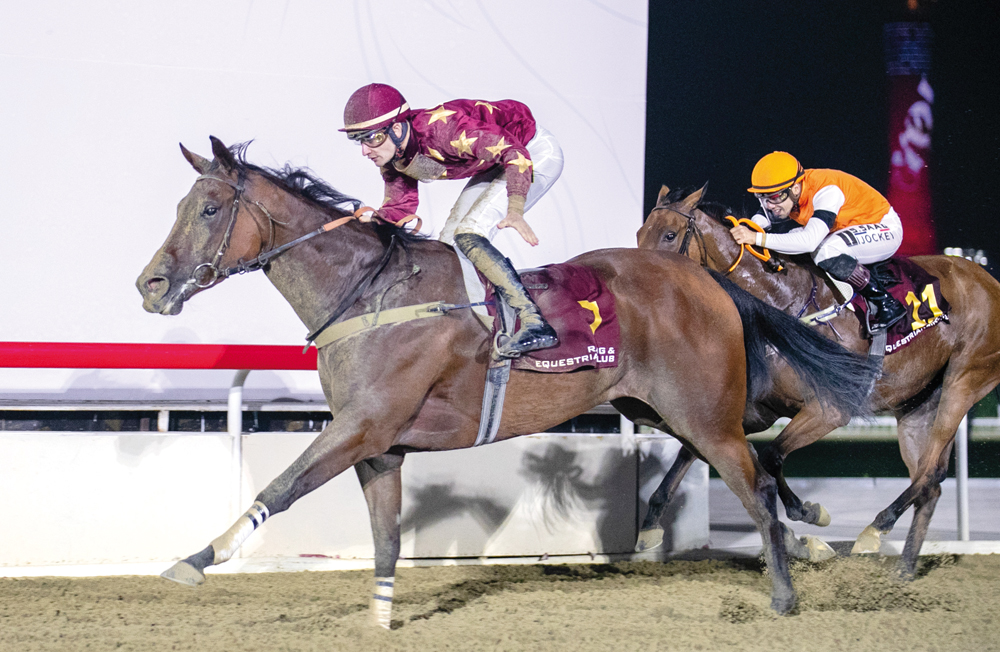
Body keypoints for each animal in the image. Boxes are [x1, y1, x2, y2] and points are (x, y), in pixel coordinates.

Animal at [137, 138, 880, 620]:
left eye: (209, 210)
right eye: (179, 207)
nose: (150, 285)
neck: (371, 295)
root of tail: (711, 284)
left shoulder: (361, 426)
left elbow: (281, 487)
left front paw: (195, 559)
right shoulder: (380, 445)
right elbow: (386, 537)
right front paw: (380, 618)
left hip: (704, 411)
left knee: (756, 481)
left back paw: (787, 589)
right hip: (661, 408)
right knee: (746, 463)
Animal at [636, 185, 1000, 580]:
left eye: (670, 235)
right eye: (640, 233)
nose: (643, 279)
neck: (784, 303)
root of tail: (986, 278)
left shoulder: (830, 410)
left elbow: (770, 455)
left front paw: (808, 514)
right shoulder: (760, 409)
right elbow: (695, 449)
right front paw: (650, 525)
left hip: (964, 380)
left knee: (930, 473)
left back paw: (876, 528)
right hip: (916, 406)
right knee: (930, 486)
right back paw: (903, 568)